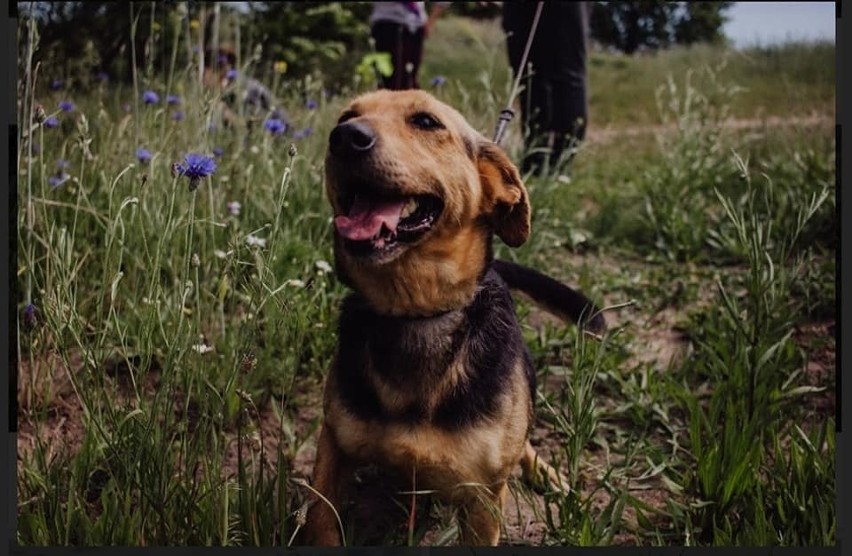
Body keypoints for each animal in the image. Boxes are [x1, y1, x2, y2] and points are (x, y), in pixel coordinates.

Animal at [302, 89, 604, 544]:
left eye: (426, 122)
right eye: (346, 116)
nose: (345, 138)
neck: (416, 313)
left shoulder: (483, 497)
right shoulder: (333, 445)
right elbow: (321, 519)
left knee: (525, 443)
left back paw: (548, 476)